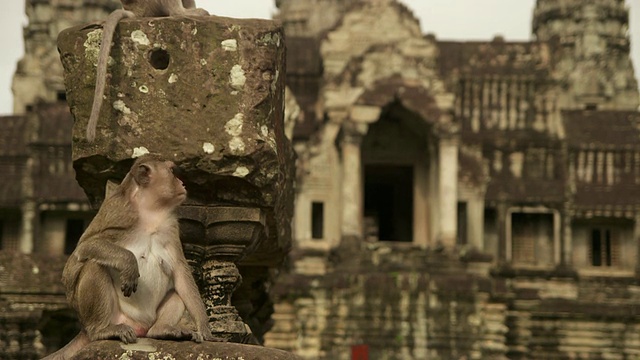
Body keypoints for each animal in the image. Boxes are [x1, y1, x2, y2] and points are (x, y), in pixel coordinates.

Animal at [44, 153, 220, 358]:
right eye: (171, 171)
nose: (182, 183)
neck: (150, 212)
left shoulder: (170, 227)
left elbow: (180, 272)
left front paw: (205, 330)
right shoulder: (118, 213)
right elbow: (84, 247)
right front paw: (129, 264)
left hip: (148, 322)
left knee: (176, 294)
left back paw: (161, 330)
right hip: (113, 317)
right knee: (93, 265)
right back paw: (101, 330)